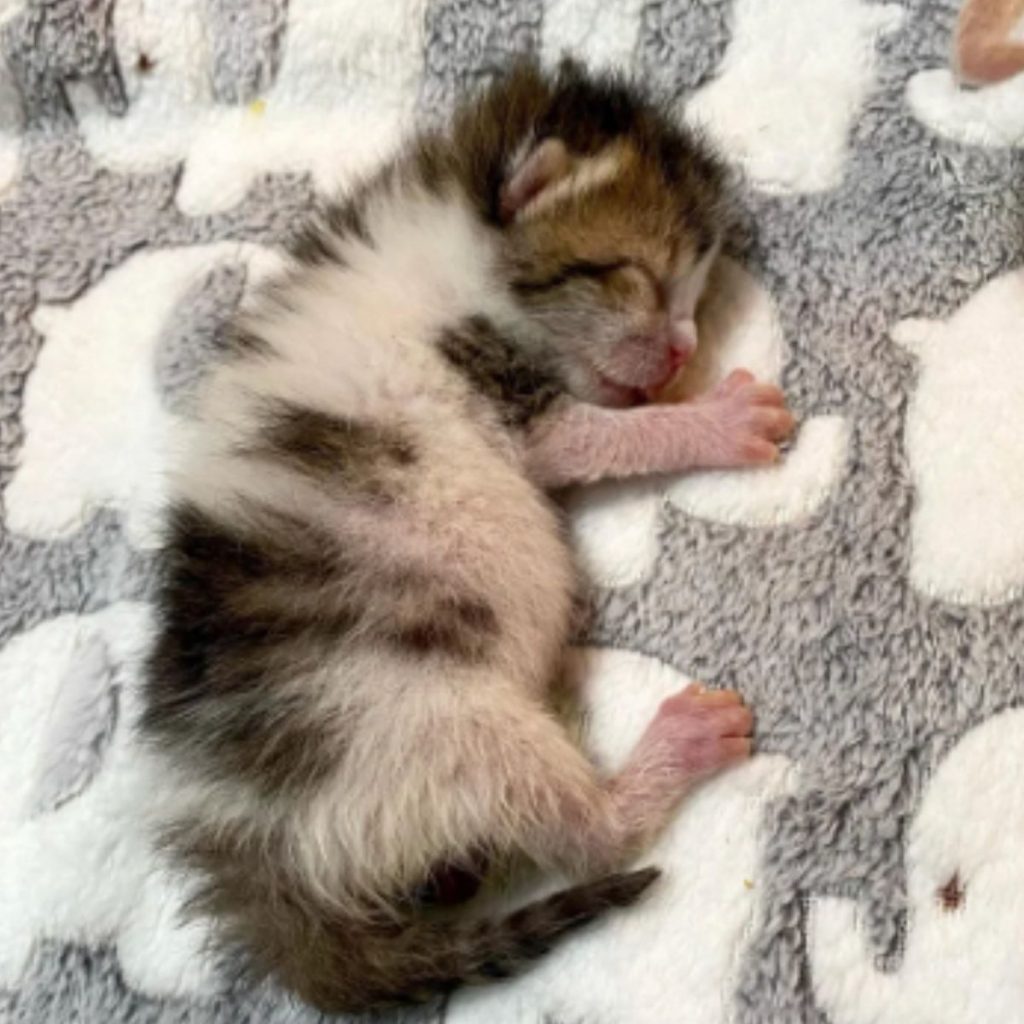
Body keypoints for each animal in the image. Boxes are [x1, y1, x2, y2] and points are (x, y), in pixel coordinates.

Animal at [142, 59, 790, 1011]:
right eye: (638, 273)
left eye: (697, 296)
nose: (680, 353)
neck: (452, 240)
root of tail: (260, 861)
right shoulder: (504, 393)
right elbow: (603, 436)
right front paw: (714, 420)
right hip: (443, 726)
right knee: (593, 839)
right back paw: (675, 749)